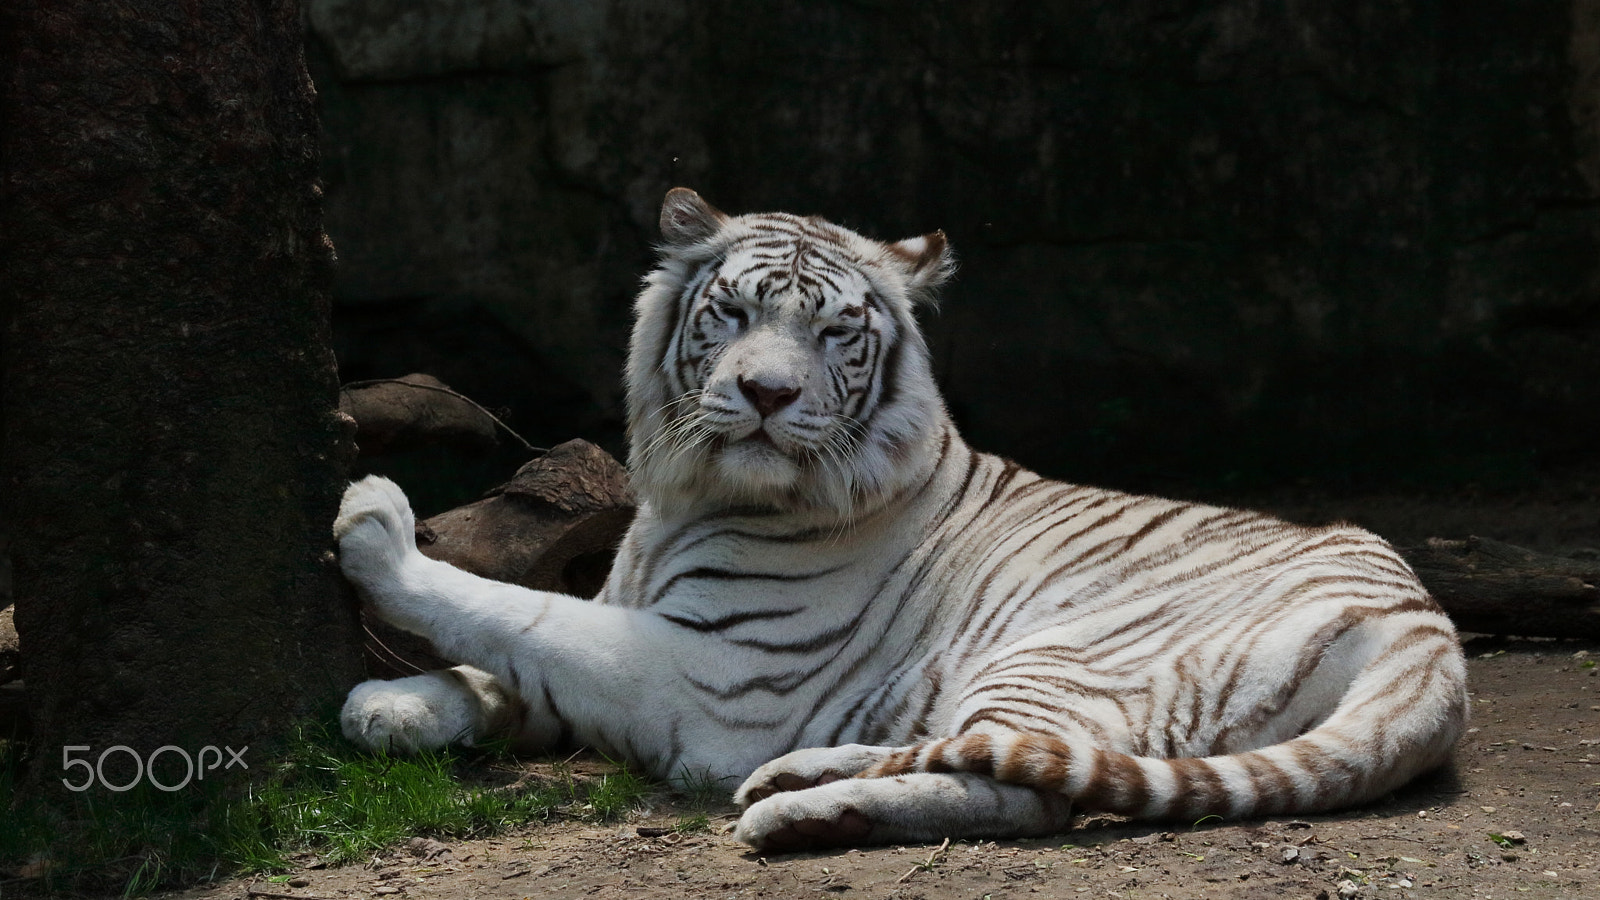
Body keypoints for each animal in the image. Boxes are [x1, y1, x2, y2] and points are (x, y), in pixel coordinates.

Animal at [334, 187, 1469, 850]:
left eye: (836, 331)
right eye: (733, 313)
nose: (765, 393)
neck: (685, 499)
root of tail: (1426, 633)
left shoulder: (705, 678)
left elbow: (517, 616)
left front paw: (374, 527)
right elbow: (504, 669)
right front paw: (388, 706)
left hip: (1057, 653)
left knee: (1025, 786)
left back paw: (792, 814)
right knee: (971, 750)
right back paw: (798, 779)